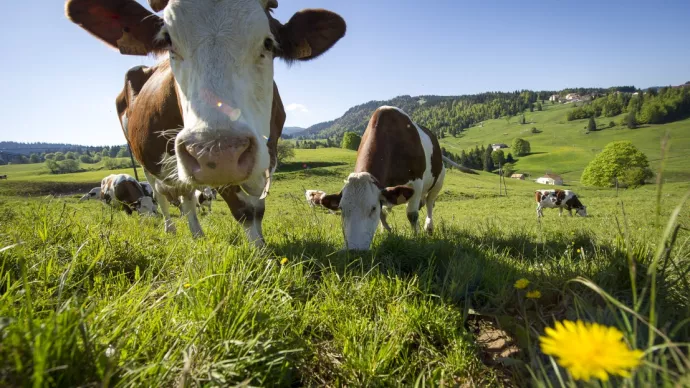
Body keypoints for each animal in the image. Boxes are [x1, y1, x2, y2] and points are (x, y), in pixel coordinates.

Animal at [64, 0, 344, 246]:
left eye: (268, 42)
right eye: (168, 41)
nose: (217, 152)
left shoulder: (268, 153)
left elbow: (258, 209)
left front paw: (262, 244)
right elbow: (244, 211)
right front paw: (261, 254)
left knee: (186, 196)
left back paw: (197, 234)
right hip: (145, 161)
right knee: (163, 197)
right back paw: (173, 229)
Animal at [318, 107, 446, 252]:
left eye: (373, 208)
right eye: (341, 209)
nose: (355, 250)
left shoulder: (416, 182)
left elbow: (412, 215)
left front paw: (416, 238)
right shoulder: (383, 190)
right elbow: (383, 215)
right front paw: (387, 232)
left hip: (438, 180)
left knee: (430, 202)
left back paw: (429, 227)